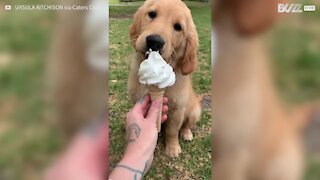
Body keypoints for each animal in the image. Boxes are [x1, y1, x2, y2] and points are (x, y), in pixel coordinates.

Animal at [127, 0, 200, 158]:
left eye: (178, 27)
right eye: (152, 14)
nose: (154, 42)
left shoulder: (177, 109)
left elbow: (172, 131)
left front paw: (172, 148)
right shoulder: (137, 101)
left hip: (194, 111)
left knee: (187, 125)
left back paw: (187, 133)